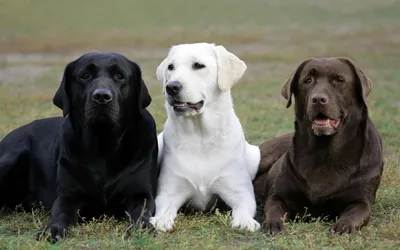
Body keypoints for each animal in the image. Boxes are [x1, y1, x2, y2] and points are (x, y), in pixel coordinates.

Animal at [0, 52, 159, 242]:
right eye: (85, 75)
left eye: (120, 76)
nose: (102, 96)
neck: (104, 146)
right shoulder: (68, 195)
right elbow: (61, 212)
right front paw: (52, 228)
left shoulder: (140, 195)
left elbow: (141, 213)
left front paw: (142, 227)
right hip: (12, 156)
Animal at [149, 42, 260, 231]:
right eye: (171, 67)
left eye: (198, 65)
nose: (171, 86)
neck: (200, 136)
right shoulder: (169, 192)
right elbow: (164, 208)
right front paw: (162, 220)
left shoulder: (240, 191)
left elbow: (244, 207)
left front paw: (245, 221)